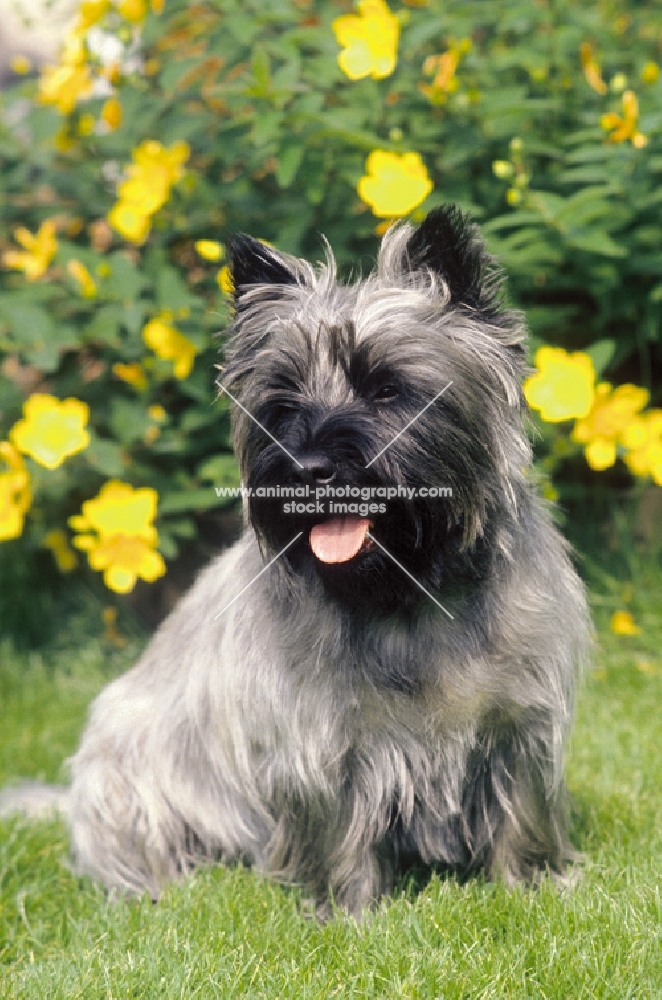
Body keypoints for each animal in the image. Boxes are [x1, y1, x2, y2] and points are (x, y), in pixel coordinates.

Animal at [0, 207, 592, 916]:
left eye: (386, 388)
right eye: (282, 402)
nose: (307, 468)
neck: (403, 589)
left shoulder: (519, 721)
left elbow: (520, 808)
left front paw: (531, 887)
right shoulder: (316, 739)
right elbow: (335, 823)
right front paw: (347, 911)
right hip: (126, 776)